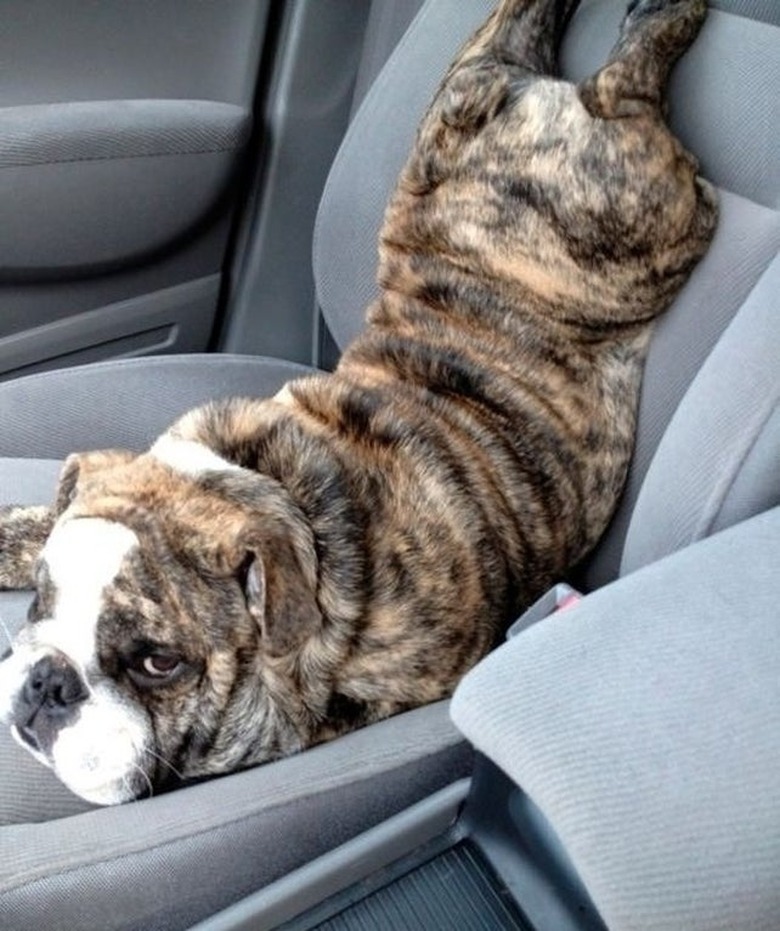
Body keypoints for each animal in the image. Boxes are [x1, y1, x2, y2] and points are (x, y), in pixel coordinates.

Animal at [0, 0, 716, 804]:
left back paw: (664, 23)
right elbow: (31, 523)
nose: (48, 681)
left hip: (653, 213)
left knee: (629, 95)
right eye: (41, 599)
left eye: (159, 663)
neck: (268, 488)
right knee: (515, 38)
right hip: (453, 109)